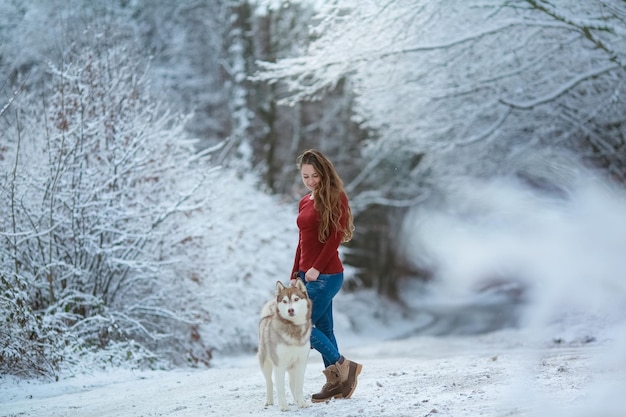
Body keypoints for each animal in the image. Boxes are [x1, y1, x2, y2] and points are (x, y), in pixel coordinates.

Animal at [258, 280, 310, 410]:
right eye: (285, 301)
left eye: (296, 299)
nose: (290, 310)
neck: (294, 329)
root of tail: (267, 316)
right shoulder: (279, 364)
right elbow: (280, 387)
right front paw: (283, 406)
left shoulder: (301, 362)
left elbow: (299, 386)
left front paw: (302, 402)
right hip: (265, 363)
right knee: (269, 382)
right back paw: (269, 400)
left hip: (292, 367)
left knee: (292, 384)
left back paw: (297, 400)